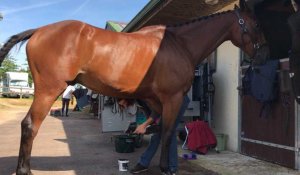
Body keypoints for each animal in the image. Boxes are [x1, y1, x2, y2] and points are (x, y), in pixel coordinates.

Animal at [0, 0, 268, 174]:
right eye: (255, 24)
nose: (263, 54)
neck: (179, 44)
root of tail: (39, 30)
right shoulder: (172, 98)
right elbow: (167, 132)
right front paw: (165, 168)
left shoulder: (154, 98)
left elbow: (159, 127)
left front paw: (144, 163)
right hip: (48, 90)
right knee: (30, 126)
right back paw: (24, 170)